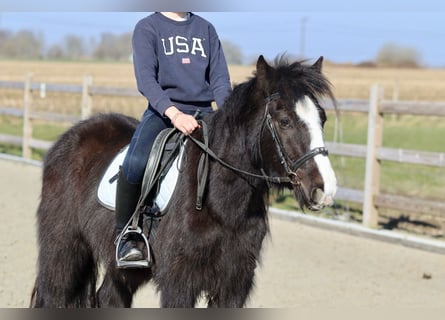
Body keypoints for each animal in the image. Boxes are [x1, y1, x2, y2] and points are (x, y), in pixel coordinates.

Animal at [30, 55, 336, 308]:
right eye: (284, 120)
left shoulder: (234, 283)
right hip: (63, 248)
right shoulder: (179, 282)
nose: (325, 189)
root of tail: (69, 138)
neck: (220, 201)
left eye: (322, 118)